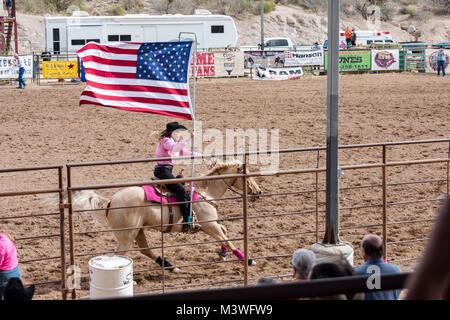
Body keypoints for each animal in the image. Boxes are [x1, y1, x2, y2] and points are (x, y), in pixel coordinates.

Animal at [72, 160, 262, 272]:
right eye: (248, 177)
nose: (258, 192)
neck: (205, 192)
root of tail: (111, 201)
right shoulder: (209, 224)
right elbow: (227, 239)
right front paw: (248, 260)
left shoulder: (210, 224)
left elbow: (225, 232)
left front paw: (223, 254)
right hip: (127, 236)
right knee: (119, 254)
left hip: (138, 231)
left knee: (145, 249)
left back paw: (170, 266)